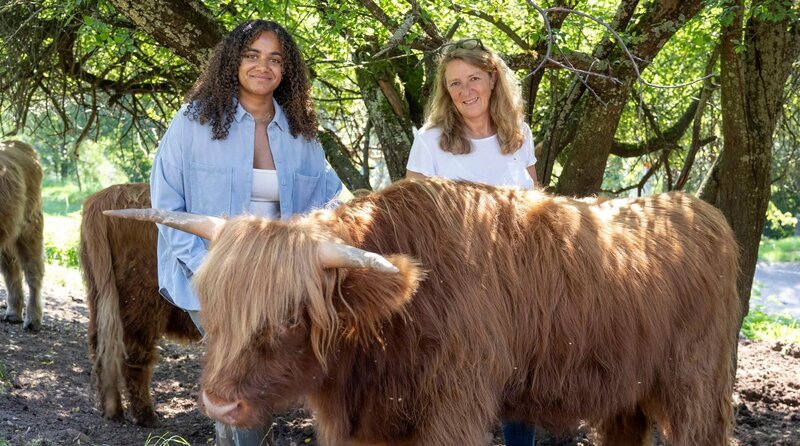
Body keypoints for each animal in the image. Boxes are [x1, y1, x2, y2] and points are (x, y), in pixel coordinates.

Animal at [79, 183, 202, 426]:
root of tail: (101, 200)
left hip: (98, 293)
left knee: (100, 345)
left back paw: (112, 410)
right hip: (142, 301)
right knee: (134, 357)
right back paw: (146, 416)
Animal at [104, 179, 736, 446]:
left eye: (290, 317)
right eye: (212, 305)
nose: (218, 403)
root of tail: (702, 211)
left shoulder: (453, 408)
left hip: (698, 387)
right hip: (628, 390)